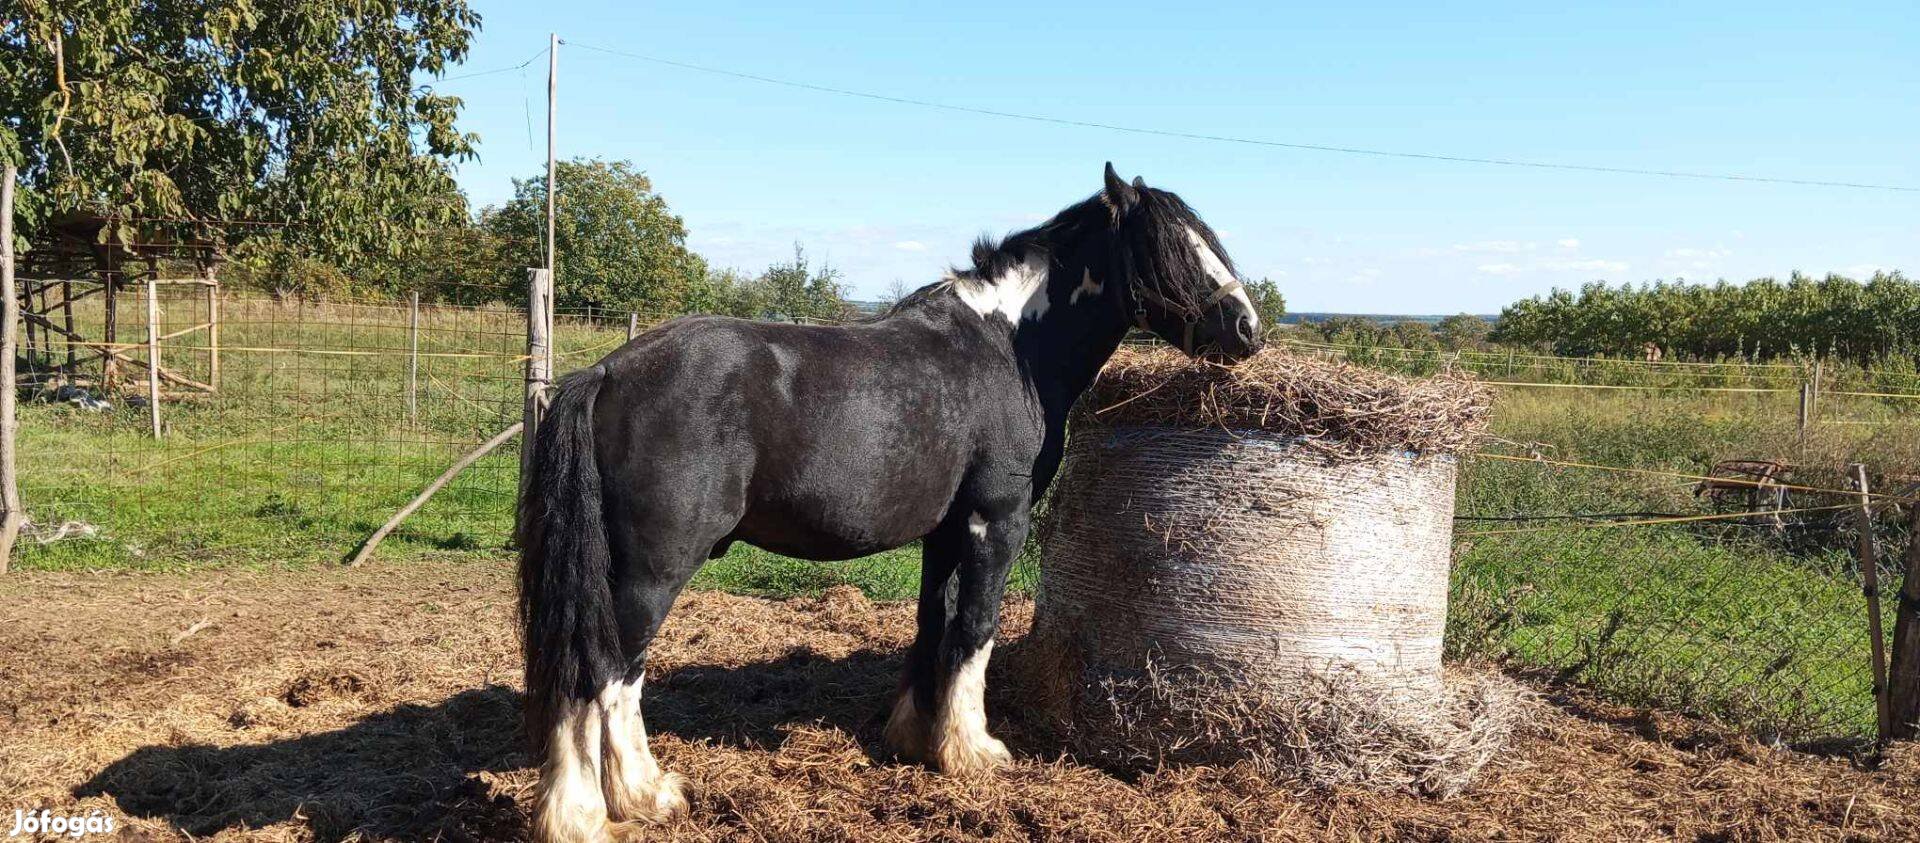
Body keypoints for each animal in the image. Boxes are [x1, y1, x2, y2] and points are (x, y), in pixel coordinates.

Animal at [518, 165, 1259, 843]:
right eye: (1171, 247)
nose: (1248, 328)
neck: (1008, 348)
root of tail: (606, 373)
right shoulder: (998, 520)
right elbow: (976, 628)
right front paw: (973, 752)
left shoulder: (945, 529)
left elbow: (934, 622)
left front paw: (915, 736)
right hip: (653, 568)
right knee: (607, 674)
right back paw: (614, 806)